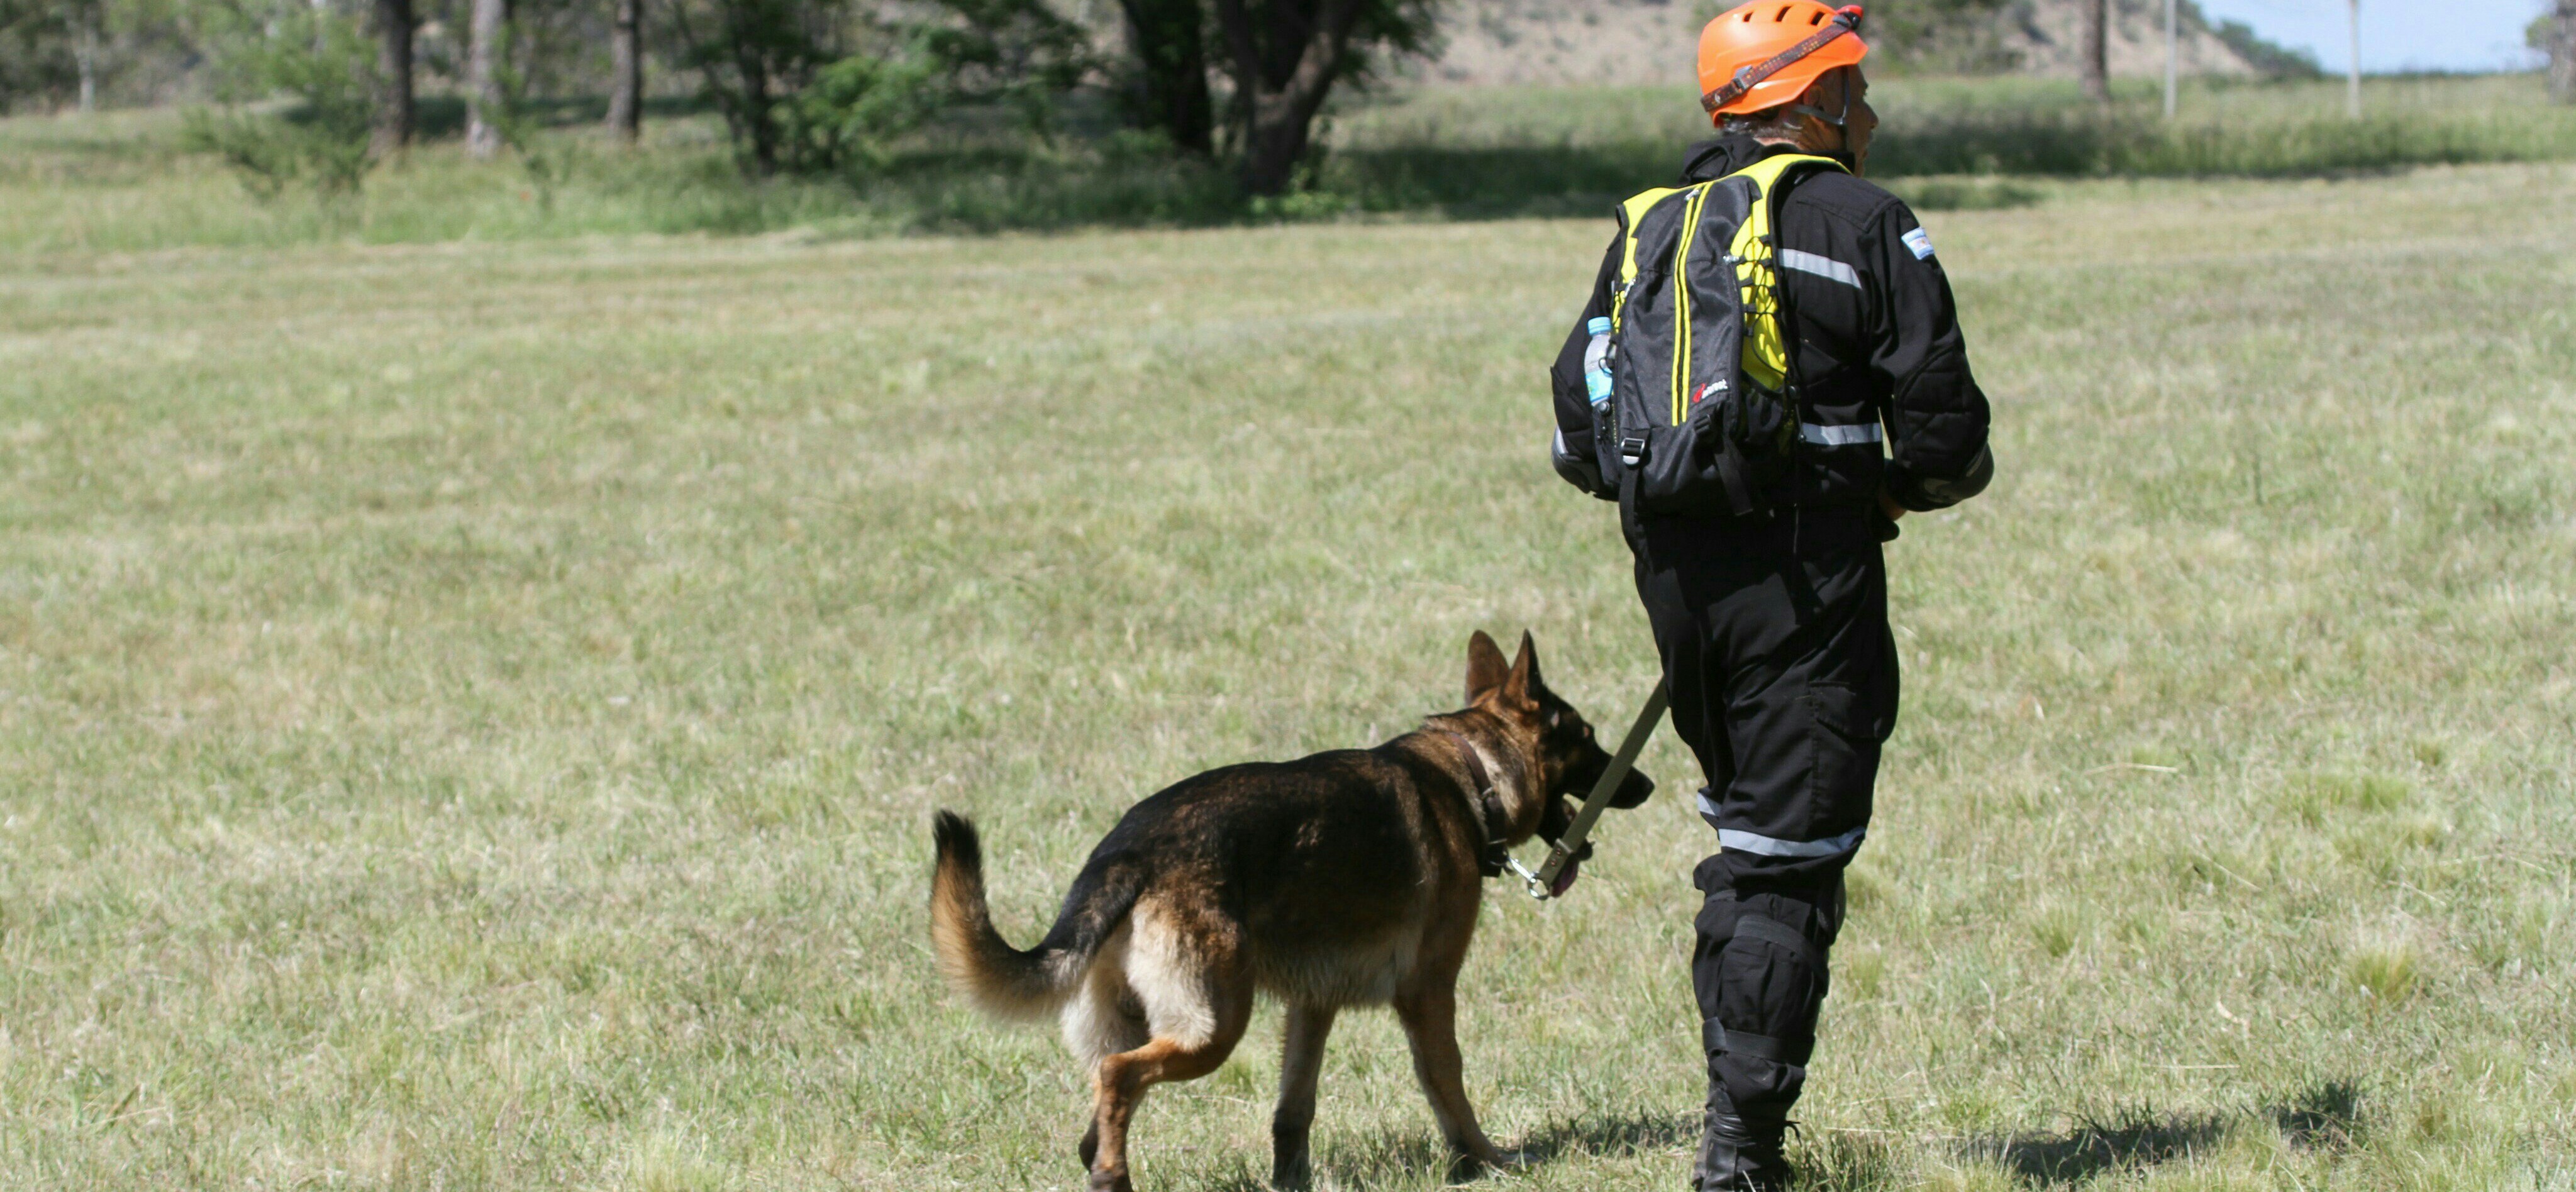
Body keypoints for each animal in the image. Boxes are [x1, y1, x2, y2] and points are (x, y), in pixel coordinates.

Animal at [927, 631, 1648, 1189]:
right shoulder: (1427, 992)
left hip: (1145, 1018)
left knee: (1103, 1102)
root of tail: (1128, 853)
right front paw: (1484, 1160)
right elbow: (1449, 1083)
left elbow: (1293, 1109)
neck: (1470, 773)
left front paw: (1291, 1181)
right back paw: (1113, 1177)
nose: (1645, 782)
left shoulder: (1313, 1004)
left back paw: (1099, 1159)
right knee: (1117, 1076)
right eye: (1588, 739)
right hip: (1214, 1027)